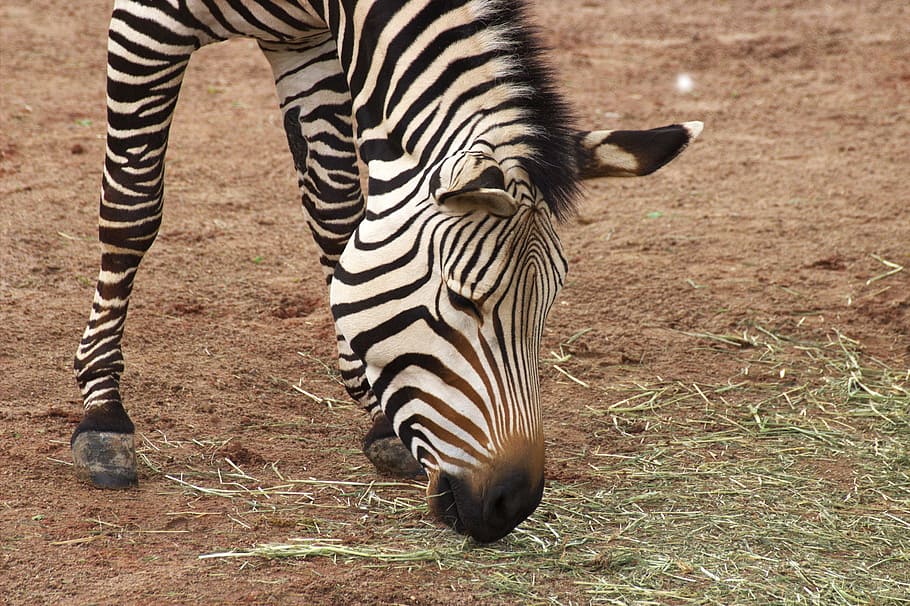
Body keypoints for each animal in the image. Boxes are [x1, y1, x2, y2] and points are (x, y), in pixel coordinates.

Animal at [71, 0, 702, 543]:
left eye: (546, 309)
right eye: (463, 300)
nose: (512, 505)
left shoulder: (306, 41)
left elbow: (334, 209)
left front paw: (375, 412)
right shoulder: (149, 20)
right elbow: (132, 206)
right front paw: (103, 412)